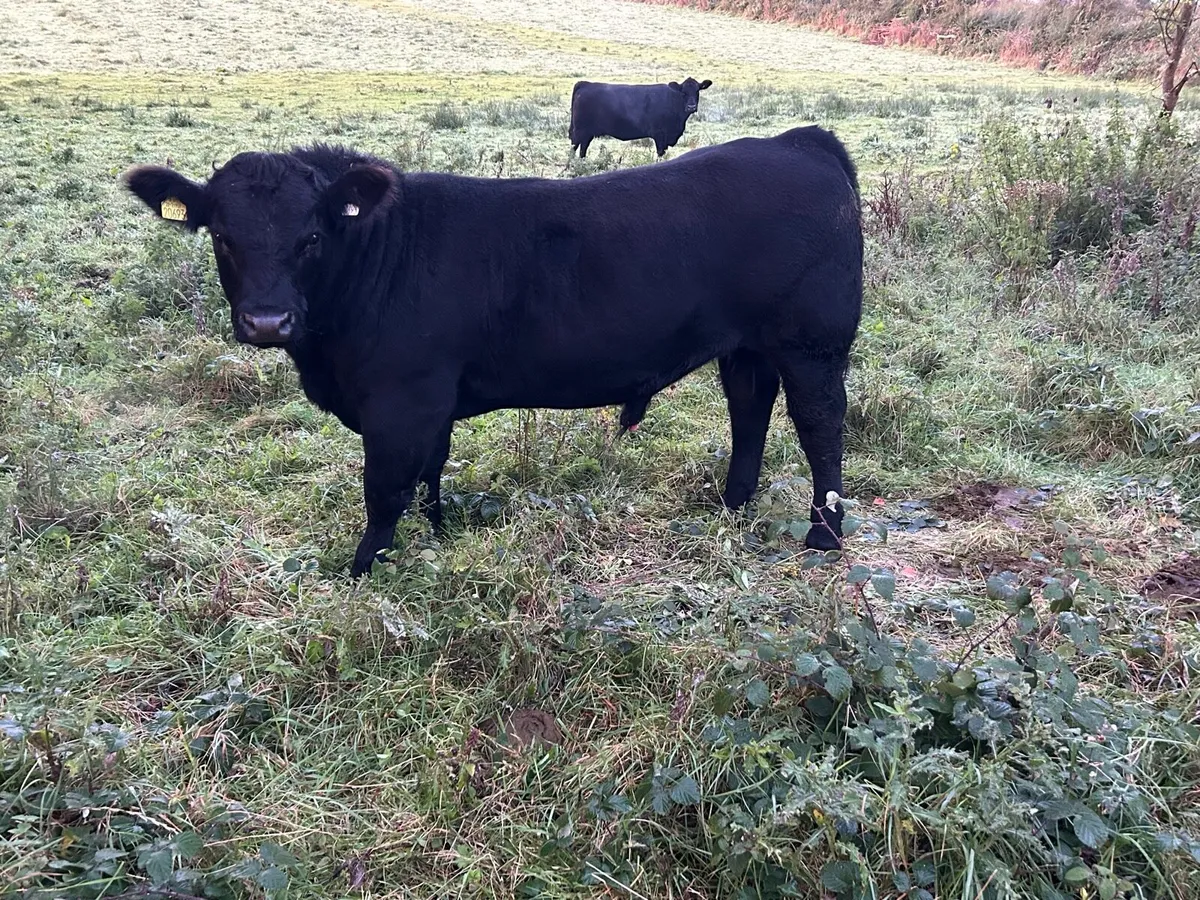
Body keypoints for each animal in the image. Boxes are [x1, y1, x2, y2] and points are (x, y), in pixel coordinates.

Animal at [125, 125, 863, 577]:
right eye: (222, 236)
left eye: (311, 237)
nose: (267, 321)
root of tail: (799, 143)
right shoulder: (433, 400)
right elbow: (430, 473)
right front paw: (439, 535)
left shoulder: (403, 399)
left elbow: (385, 489)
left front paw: (364, 571)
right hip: (747, 346)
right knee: (750, 410)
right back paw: (732, 504)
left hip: (813, 343)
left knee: (820, 424)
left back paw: (824, 534)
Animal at [569, 77, 712, 159]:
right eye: (683, 92)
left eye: (697, 91)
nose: (691, 107)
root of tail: (585, 84)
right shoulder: (659, 135)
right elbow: (660, 154)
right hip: (580, 131)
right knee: (574, 148)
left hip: (587, 133)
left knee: (582, 150)